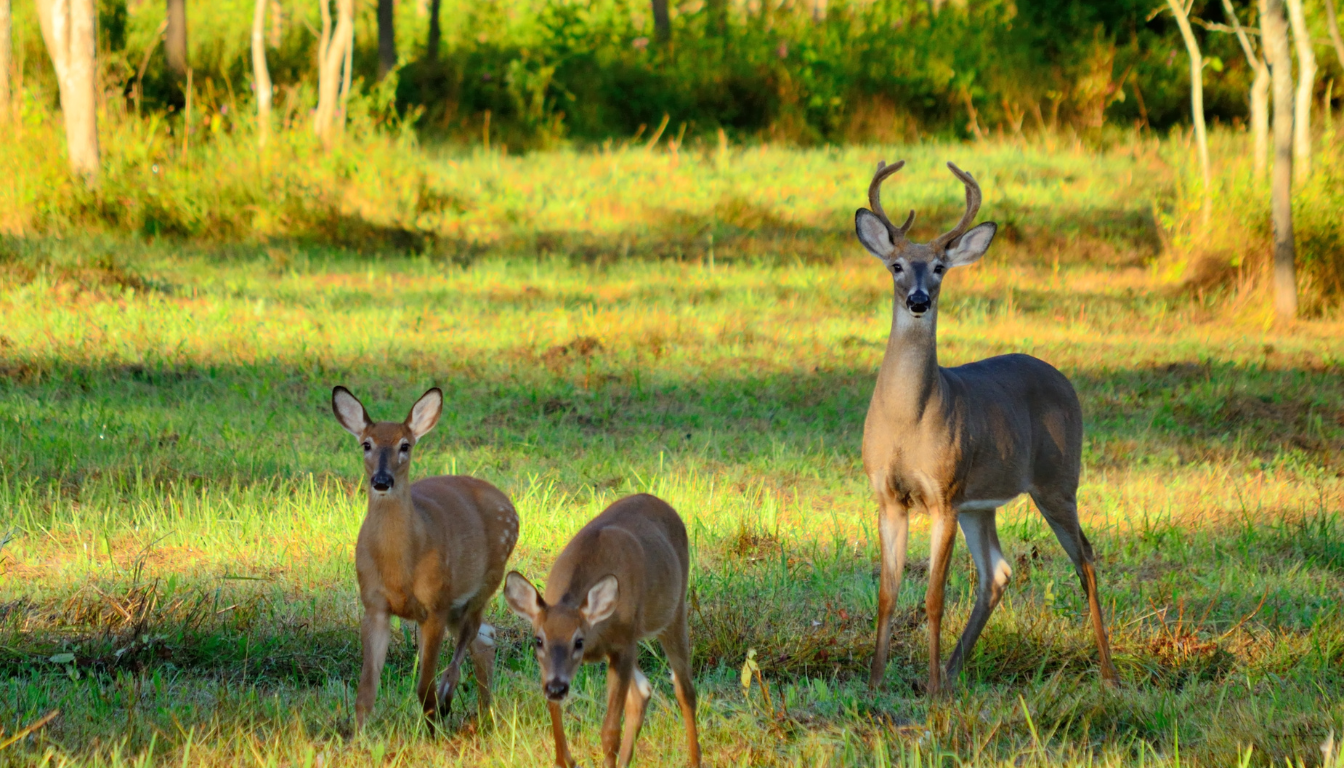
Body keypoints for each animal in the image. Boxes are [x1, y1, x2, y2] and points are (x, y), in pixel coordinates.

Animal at [331, 385, 519, 729]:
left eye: (405, 445)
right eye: (367, 444)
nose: (382, 481)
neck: (398, 566)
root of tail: (509, 503)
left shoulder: (434, 605)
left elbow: (423, 687)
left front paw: (434, 724)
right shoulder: (374, 605)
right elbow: (366, 691)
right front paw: (357, 735)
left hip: (489, 576)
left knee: (474, 632)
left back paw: (451, 697)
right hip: (459, 602)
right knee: (484, 638)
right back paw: (485, 715)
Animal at [503, 493, 701, 768]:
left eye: (578, 641)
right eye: (538, 640)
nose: (556, 688)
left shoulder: (624, 644)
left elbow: (610, 731)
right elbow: (554, 713)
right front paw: (567, 759)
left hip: (673, 612)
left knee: (685, 691)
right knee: (643, 691)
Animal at [854, 161, 1119, 695]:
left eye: (939, 267)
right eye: (896, 265)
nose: (918, 300)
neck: (908, 421)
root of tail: (1063, 378)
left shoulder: (944, 494)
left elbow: (933, 597)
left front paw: (931, 691)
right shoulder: (889, 496)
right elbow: (887, 594)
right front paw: (874, 684)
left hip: (1058, 480)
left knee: (1085, 558)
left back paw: (1108, 672)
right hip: (983, 503)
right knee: (998, 571)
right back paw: (956, 669)